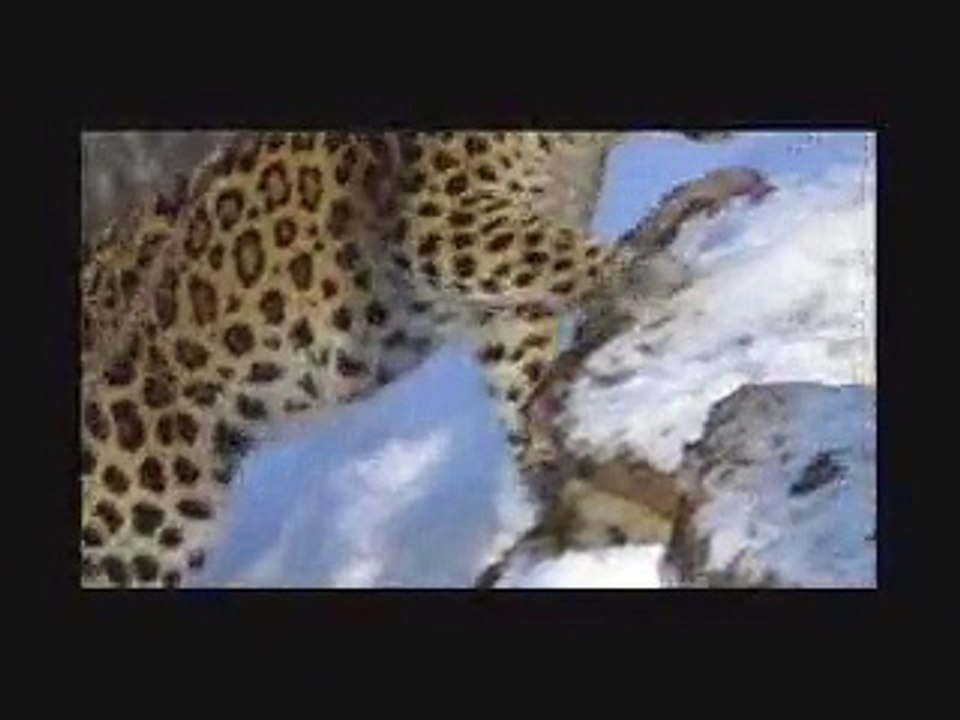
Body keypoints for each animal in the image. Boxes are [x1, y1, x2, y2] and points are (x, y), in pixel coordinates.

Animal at [80, 130, 727, 588]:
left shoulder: (509, 308)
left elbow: (522, 373)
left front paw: (545, 466)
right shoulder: (441, 220)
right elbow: (559, 252)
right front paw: (647, 271)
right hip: (136, 515)